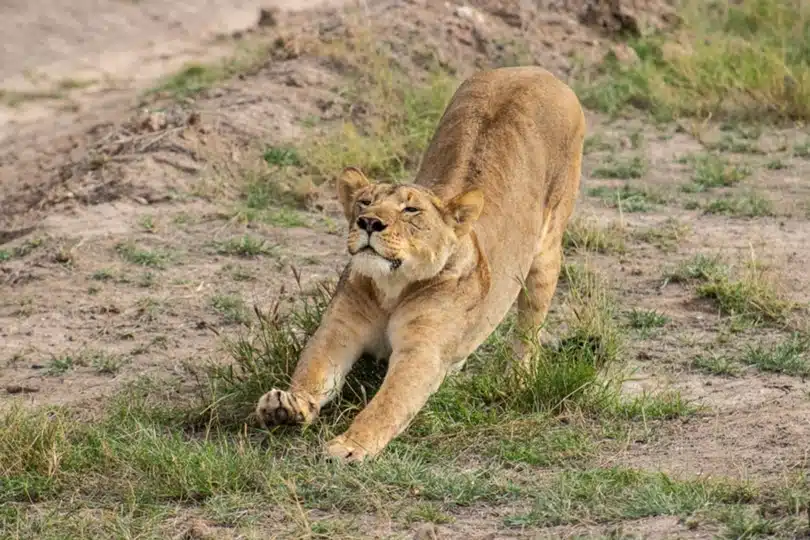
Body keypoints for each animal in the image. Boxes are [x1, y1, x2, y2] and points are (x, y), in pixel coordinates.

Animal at [256, 65, 586, 462]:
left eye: (410, 210)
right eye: (365, 202)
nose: (369, 223)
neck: (392, 287)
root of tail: (536, 70)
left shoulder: (421, 352)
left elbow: (388, 404)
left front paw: (349, 447)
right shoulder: (338, 329)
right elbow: (313, 372)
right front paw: (286, 406)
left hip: (546, 253)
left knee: (529, 329)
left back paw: (519, 378)